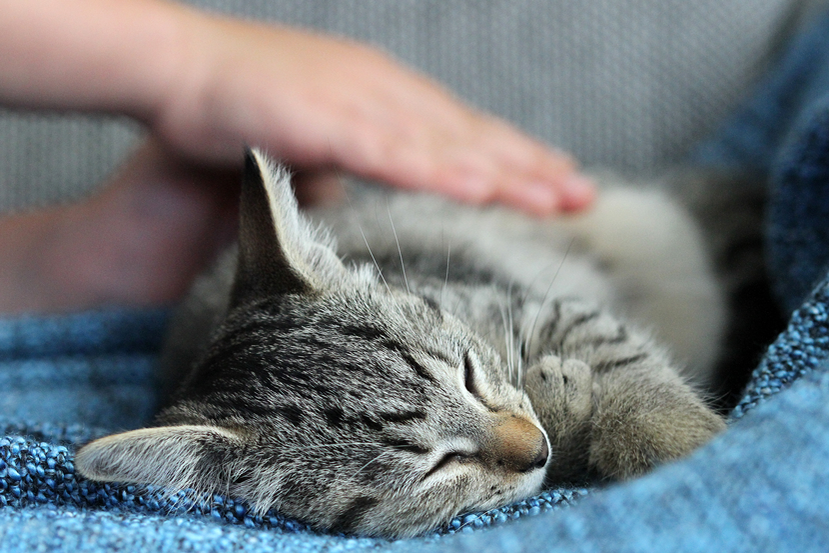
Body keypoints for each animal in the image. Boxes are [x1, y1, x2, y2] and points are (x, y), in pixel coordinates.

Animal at [76, 149, 724, 536]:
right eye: (439, 465)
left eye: (468, 373)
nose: (535, 447)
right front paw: (565, 408)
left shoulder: (537, 306)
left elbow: (623, 359)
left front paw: (683, 436)